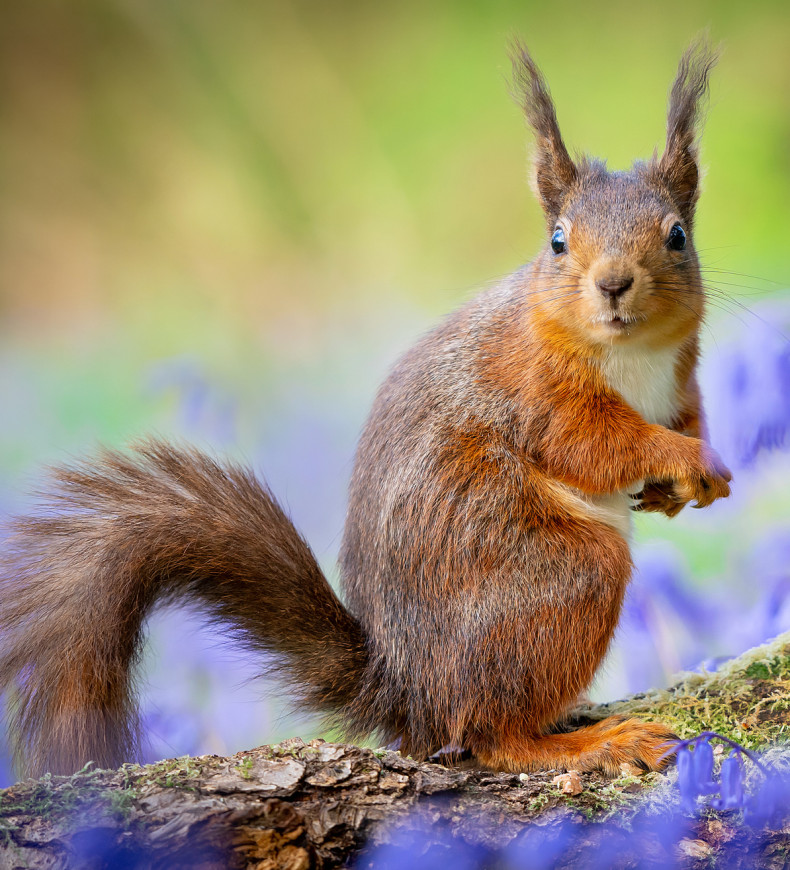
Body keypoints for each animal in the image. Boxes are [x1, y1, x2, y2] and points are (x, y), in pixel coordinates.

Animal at [0, 39, 732, 780]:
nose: (613, 283)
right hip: (556, 577)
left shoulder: (680, 379)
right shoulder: (537, 392)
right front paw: (684, 459)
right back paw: (590, 742)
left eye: (677, 235)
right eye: (557, 240)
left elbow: (687, 414)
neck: (631, 353)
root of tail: (410, 695)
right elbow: (593, 442)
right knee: (492, 734)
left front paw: (698, 476)